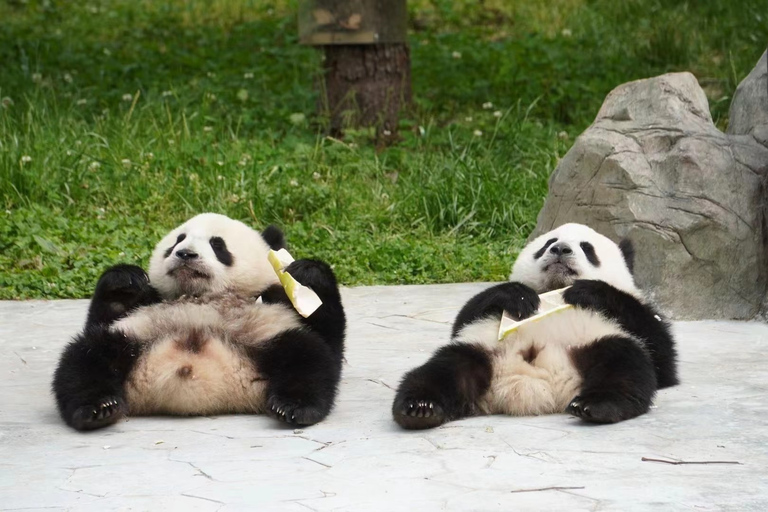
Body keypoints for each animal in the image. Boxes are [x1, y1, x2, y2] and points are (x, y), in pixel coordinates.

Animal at [51, 214, 344, 430]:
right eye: (177, 241)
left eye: (218, 245)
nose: (186, 254)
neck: (201, 295)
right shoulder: (144, 304)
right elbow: (103, 317)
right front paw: (123, 280)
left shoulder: (274, 302)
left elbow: (326, 339)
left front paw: (309, 274)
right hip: (134, 338)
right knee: (88, 355)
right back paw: (97, 408)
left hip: (264, 339)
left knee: (305, 354)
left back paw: (294, 407)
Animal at [396, 224, 680, 428]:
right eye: (548, 243)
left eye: (587, 248)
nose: (561, 249)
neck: (553, 292)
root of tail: (535, 386)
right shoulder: (488, 318)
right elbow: (467, 316)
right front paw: (517, 295)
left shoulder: (633, 312)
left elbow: (661, 358)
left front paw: (589, 291)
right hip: (482, 351)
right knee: (442, 369)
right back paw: (420, 408)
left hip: (595, 343)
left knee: (625, 365)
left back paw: (595, 406)